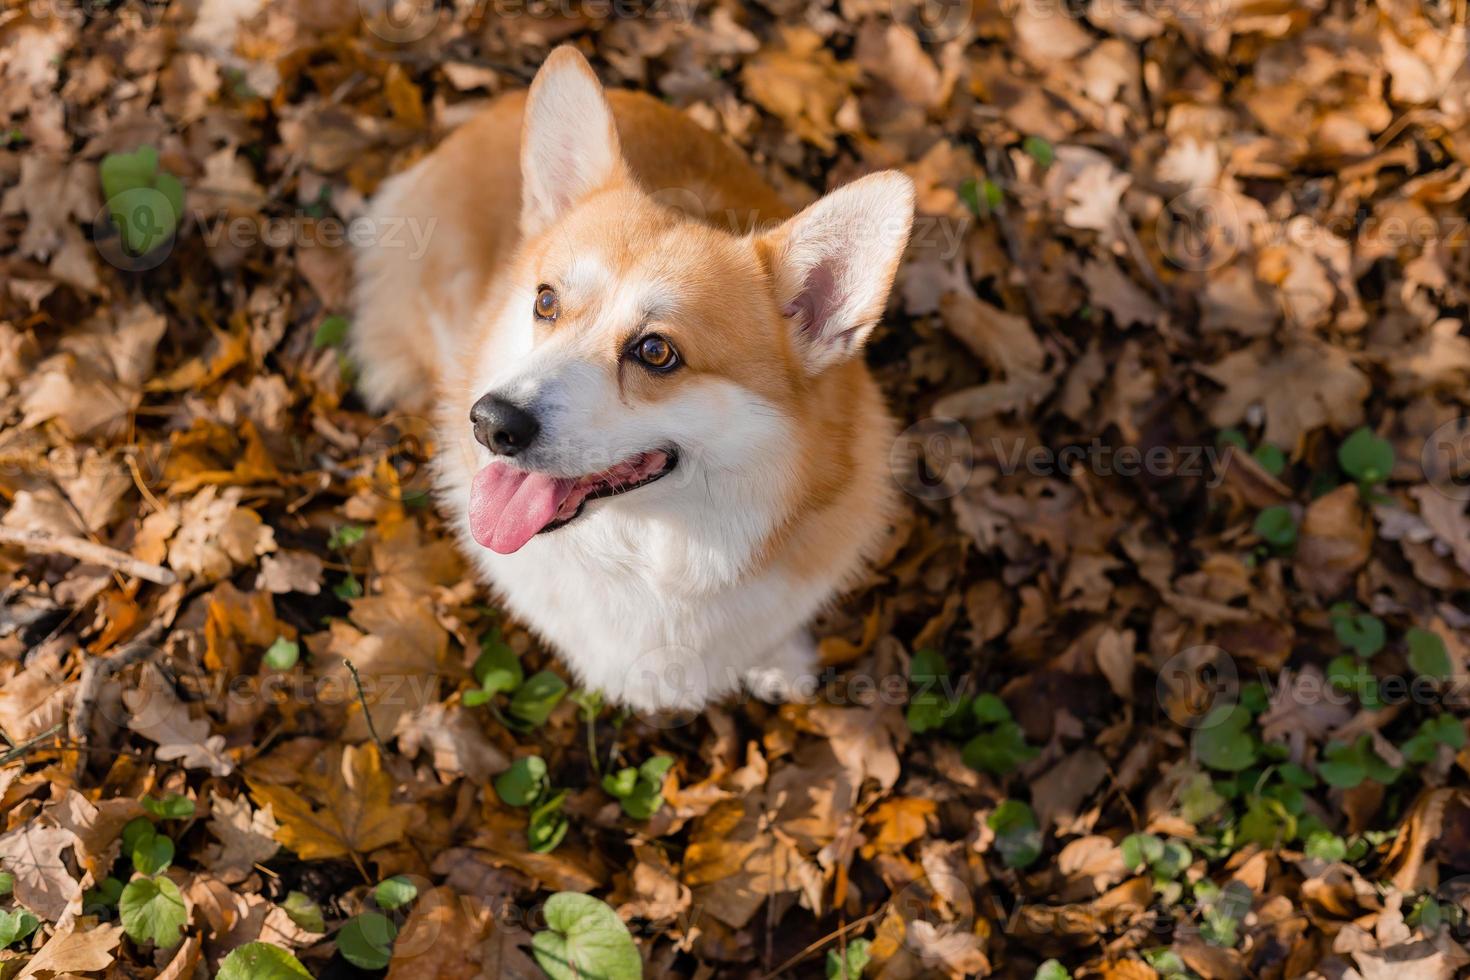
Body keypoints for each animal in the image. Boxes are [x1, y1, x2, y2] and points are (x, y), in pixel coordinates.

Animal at [349, 47, 911, 714]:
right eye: (546, 301)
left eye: (656, 351)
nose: (490, 424)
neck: (654, 554)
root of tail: (488, 109)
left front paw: (781, 662)